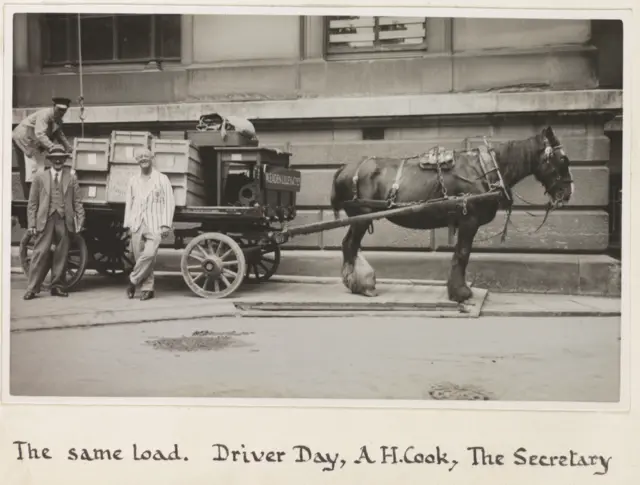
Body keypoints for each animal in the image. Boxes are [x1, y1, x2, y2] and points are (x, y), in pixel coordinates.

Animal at [330, 125, 576, 302]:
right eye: (563, 159)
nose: (568, 192)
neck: (485, 169)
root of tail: (343, 168)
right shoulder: (469, 220)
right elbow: (463, 254)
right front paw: (460, 293)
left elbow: (459, 254)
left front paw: (456, 289)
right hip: (360, 217)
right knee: (350, 244)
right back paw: (360, 285)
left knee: (349, 245)